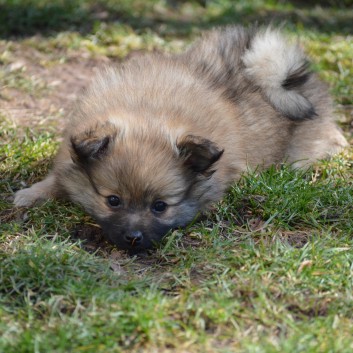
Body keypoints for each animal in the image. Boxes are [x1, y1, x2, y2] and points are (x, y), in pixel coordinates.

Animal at [14, 26, 346, 250]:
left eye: (160, 206)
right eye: (113, 201)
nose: (133, 238)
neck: (147, 110)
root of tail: (286, 80)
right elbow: (57, 178)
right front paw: (32, 194)